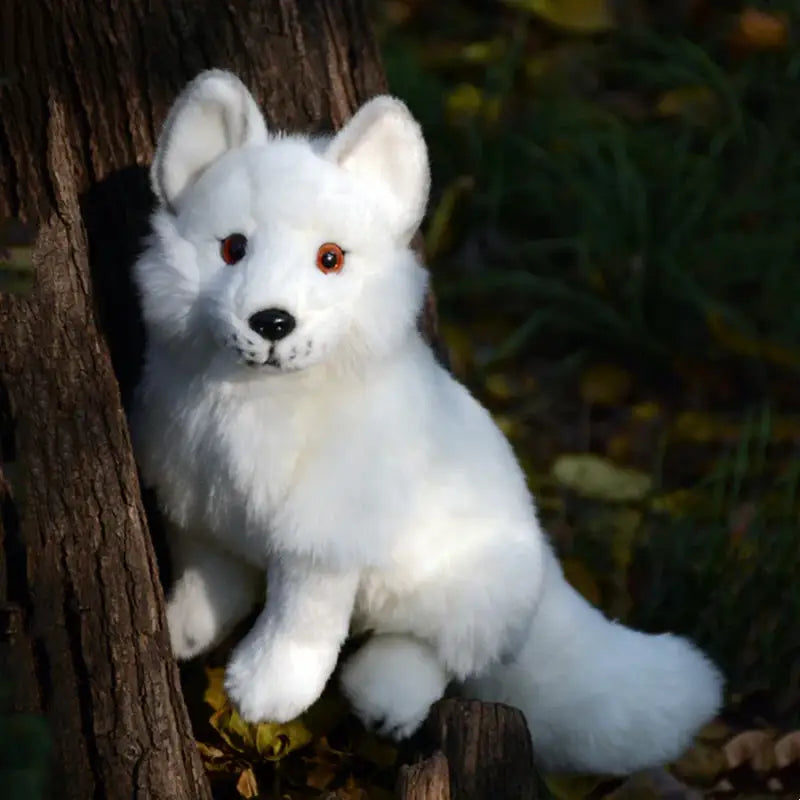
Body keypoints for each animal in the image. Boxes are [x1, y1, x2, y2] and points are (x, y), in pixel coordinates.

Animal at [130, 70, 723, 775]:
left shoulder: (321, 544)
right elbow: (209, 575)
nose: (272, 322)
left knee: (437, 651)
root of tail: (548, 575)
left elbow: (300, 622)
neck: (261, 398)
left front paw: (266, 693)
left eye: (330, 259)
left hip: (457, 591)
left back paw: (383, 699)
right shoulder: (201, 505)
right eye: (232, 248)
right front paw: (180, 630)